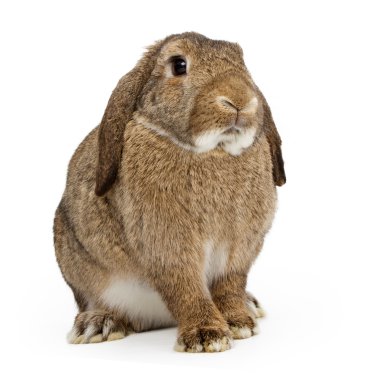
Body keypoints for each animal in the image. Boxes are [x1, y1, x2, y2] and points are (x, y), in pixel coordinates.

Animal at [53, 31, 284, 354]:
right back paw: (98, 325)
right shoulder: (168, 246)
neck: (213, 151)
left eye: (242, 63)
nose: (239, 100)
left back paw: (251, 305)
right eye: (178, 65)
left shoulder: (238, 249)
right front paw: (206, 336)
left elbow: (229, 285)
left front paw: (239, 323)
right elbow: (186, 289)